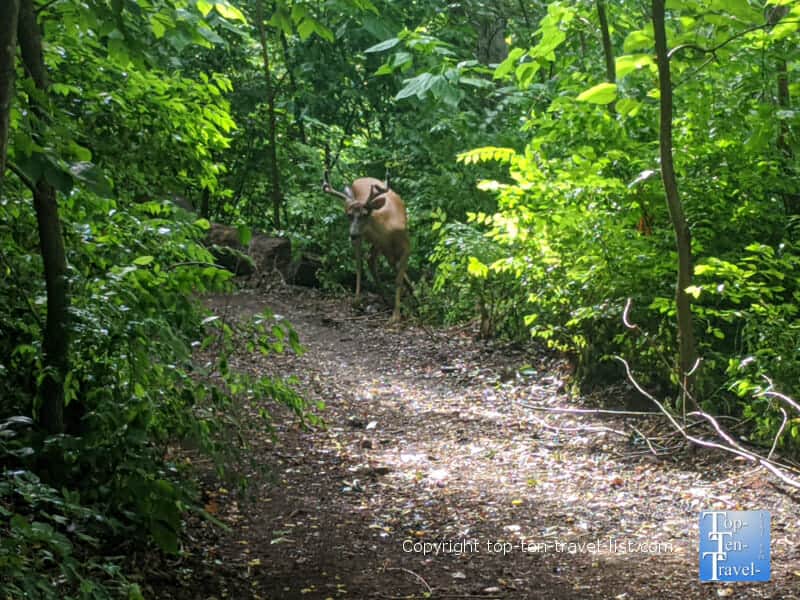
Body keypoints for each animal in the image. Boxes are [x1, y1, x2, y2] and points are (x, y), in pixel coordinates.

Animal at [322, 170, 410, 324]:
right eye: (348, 215)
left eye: (365, 214)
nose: (352, 234)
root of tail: (360, 178)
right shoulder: (385, 246)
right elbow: (397, 276)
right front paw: (396, 315)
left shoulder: (405, 245)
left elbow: (398, 277)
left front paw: (405, 303)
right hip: (367, 240)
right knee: (360, 262)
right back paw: (358, 301)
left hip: (376, 244)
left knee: (371, 260)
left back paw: (388, 297)